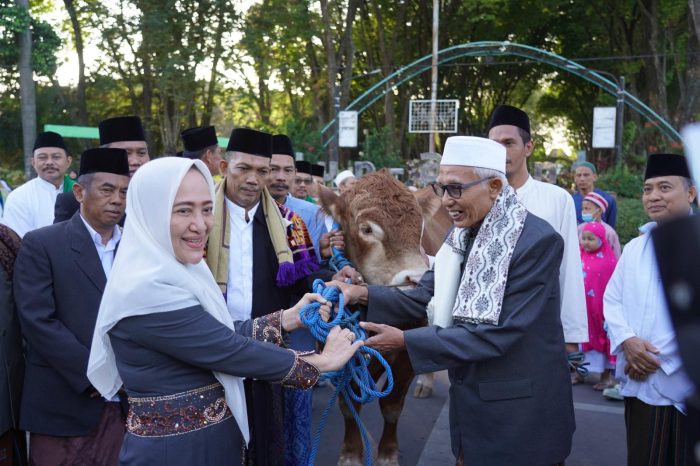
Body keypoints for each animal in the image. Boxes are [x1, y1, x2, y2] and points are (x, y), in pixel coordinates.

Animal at [319, 170, 451, 466]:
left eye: (420, 227)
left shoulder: (406, 356)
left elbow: (391, 406)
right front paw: (351, 454)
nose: (416, 279)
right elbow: (349, 404)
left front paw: (388, 454)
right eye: (366, 229)